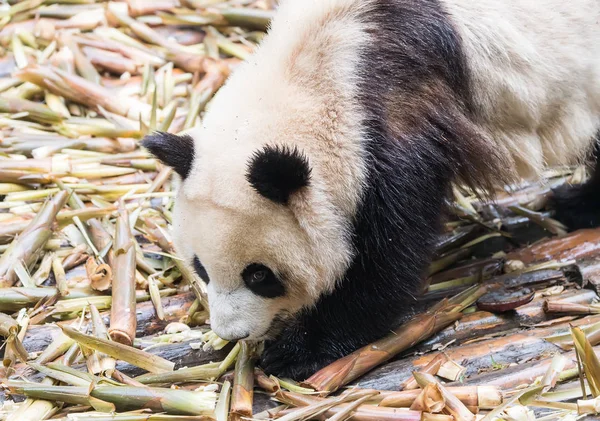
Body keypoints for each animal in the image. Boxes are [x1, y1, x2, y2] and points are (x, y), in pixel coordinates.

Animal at [143, 0, 600, 378]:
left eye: (259, 275)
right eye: (201, 267)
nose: (232, 332)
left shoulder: (396, 122)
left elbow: (387, 256)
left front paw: (298, 351)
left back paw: (577, 206)